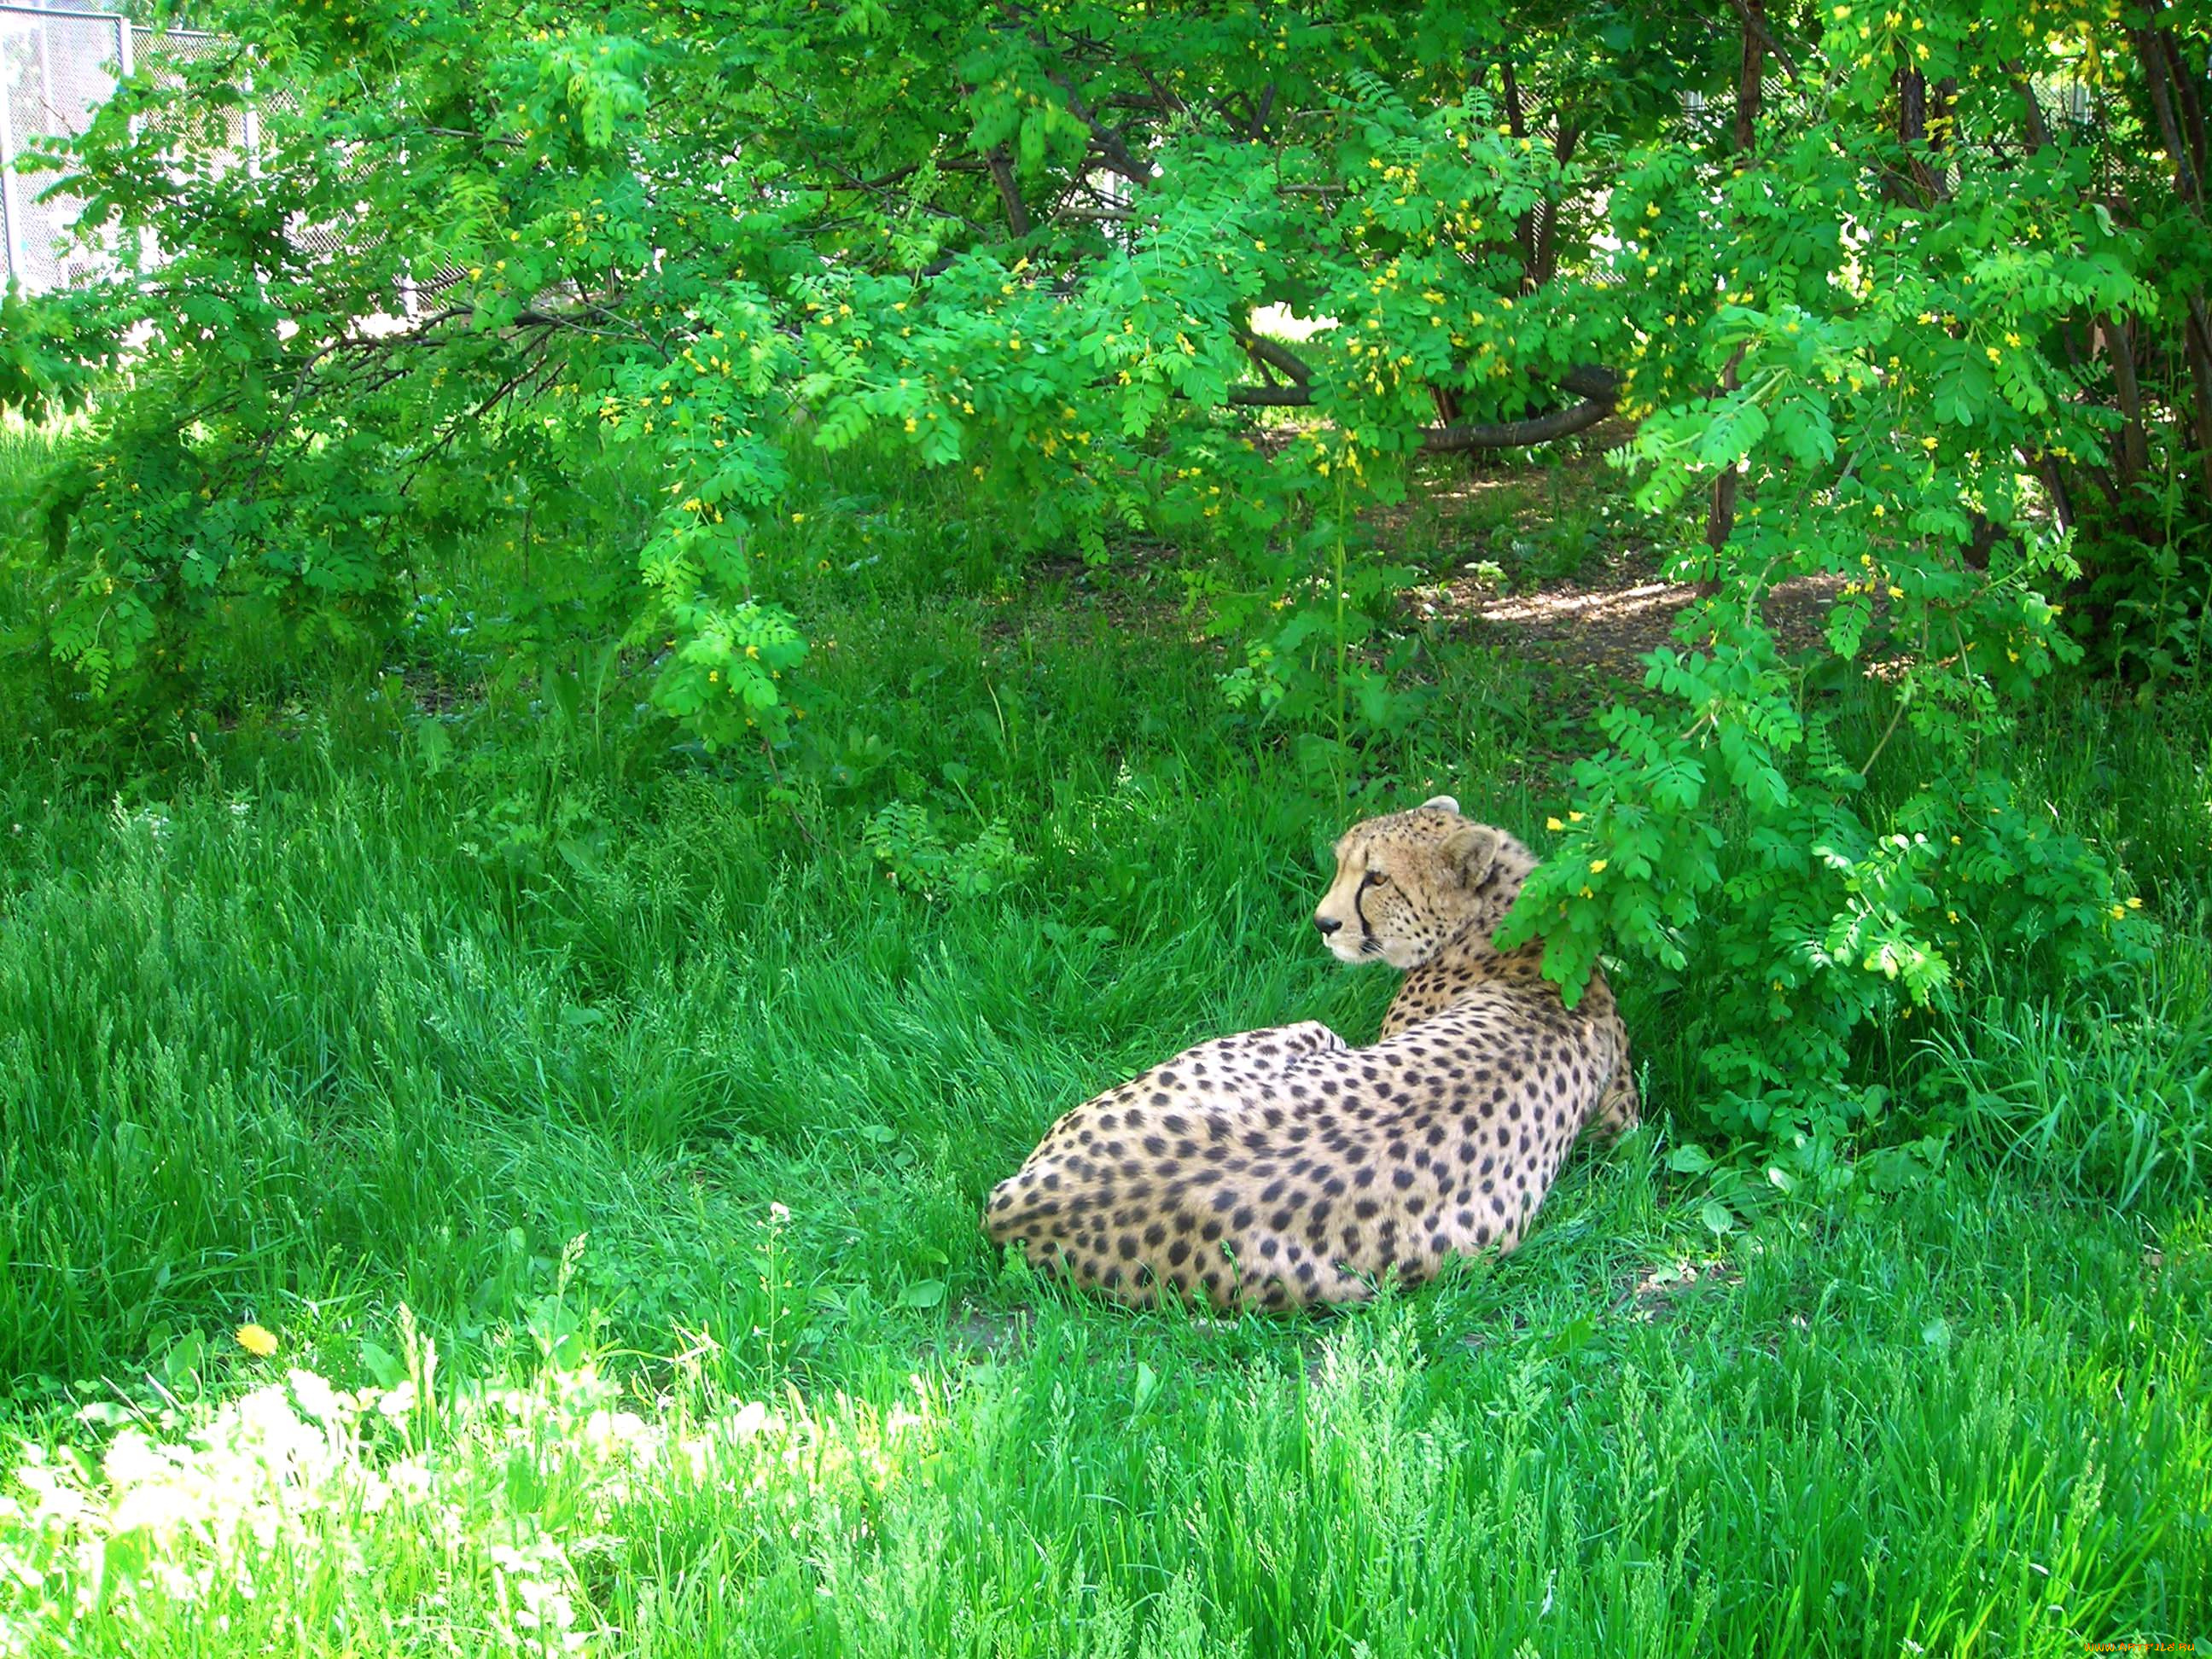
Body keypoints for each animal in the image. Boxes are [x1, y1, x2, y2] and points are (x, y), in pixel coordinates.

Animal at [987, 796, 1645, 1309]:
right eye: (1343, 863)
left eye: (1377, 878)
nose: (1323, 923)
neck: (1522, 933)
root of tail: (1028, 1203)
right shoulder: (1625, 1124)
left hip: (1312, 1032)